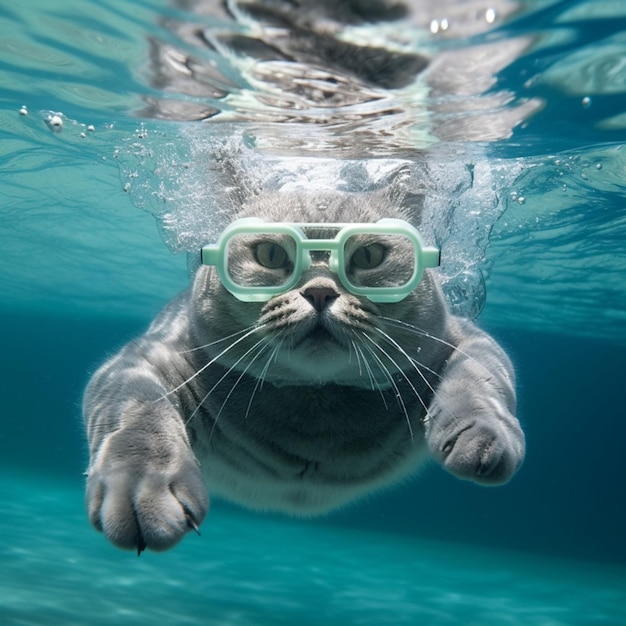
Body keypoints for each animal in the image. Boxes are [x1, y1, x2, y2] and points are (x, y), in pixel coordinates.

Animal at [83, 189, 520, 552]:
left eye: (369, 257)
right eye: (271, 255)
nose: (320, 291)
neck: (314, 402)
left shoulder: (461, 339)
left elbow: (479, 380)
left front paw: (483, 436)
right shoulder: (145, 359)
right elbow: (139, 417)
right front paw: (144, 489)